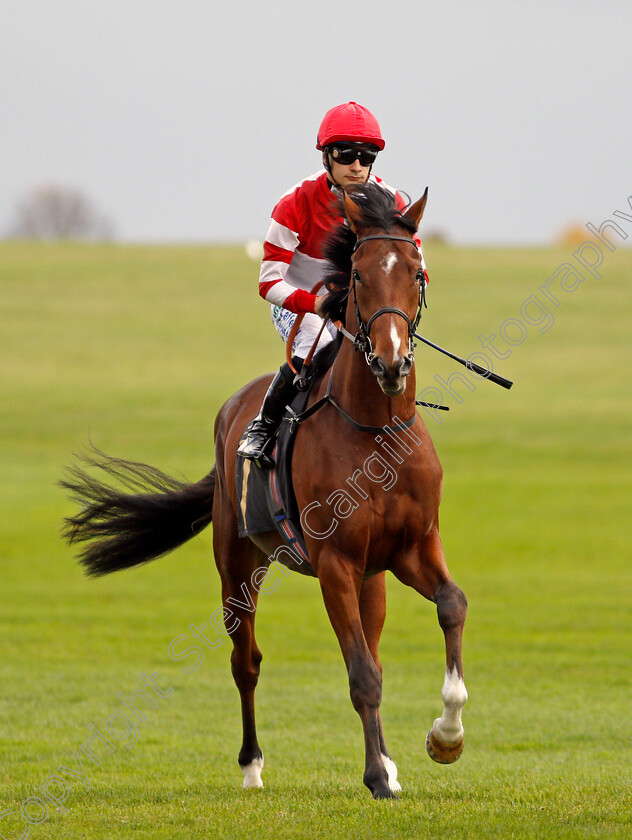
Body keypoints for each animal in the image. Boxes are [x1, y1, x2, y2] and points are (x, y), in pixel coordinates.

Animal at [63, 184, 470, 800]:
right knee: (246, 661)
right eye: (357, 275)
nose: (393, 361)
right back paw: (252, 766)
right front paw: (377, 777)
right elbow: (361, 675)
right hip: (237, 562)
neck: (376, 429)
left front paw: (443, 738)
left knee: (370, 642)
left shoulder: (411, 547)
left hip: (371, 574)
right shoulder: (335, 562)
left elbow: (450, 606)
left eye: (417, 270)